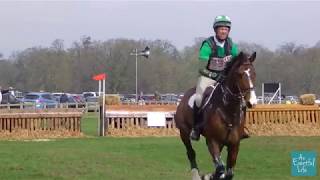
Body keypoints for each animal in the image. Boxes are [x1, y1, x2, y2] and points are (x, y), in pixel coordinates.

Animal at [175, 51, 258, 179]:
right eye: (239, 74)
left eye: (254, 73)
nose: (251, 102)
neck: (228, 110)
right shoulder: (212, 141)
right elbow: (220, 168)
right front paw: (209, 176)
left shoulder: (234, 144)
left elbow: (228, 172)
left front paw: (212, 175)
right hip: (184, 132)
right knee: (191, 153)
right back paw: (196, 175)